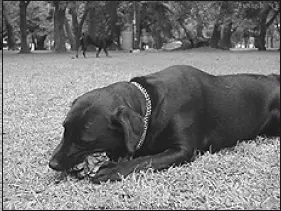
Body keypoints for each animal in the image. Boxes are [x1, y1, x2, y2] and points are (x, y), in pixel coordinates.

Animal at [49, 65, 278, 183]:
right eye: (64, 130)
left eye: (84, 141)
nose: (53, 164)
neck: (151, 103)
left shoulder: (182, 150)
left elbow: (144, 160)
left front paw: (113, 169)